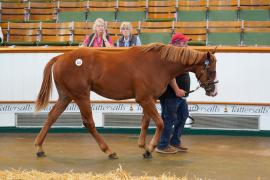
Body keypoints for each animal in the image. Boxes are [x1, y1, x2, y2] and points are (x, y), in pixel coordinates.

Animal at [34, 43, 218, 159]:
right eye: (211, 70)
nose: (213, 91)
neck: (158, 64)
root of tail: (61, 57)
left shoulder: (149, 99)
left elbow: (146, 122)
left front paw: (144, 147)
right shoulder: (144, 99)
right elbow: (160, 123)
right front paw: (150, 148)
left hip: (66, 96)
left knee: (52, 116)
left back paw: (39, 148)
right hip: (81, 96)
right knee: (89, 123)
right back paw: (109, 151)